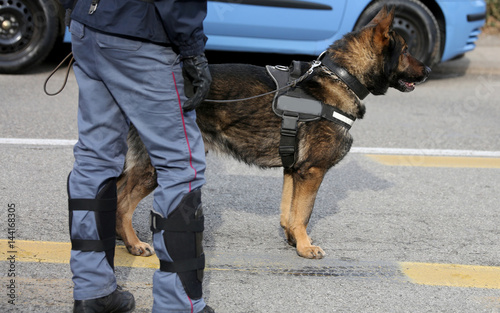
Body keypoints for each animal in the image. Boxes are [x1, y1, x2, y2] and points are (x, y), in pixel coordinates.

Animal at [116, 6, 430, 258]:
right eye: (405, 51)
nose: (428, 70)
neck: (341, 77)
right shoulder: (312, 171)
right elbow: (304, 213)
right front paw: (305, 247)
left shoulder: (293, 171)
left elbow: (289, 213)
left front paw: (294, 240)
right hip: (157, 167)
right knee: (122, 203)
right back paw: (134, 244)